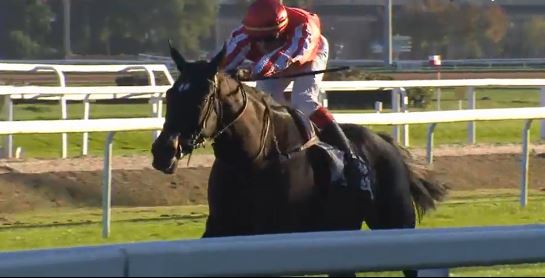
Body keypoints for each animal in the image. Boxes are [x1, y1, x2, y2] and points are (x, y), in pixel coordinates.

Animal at [150, 46, 446, 276]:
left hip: (397, 221)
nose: (163, 150)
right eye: (171, 93)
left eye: (201, 97)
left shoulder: (273, 233)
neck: (252, 159)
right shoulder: (221, 229)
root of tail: (386, 142)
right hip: (342, 225)